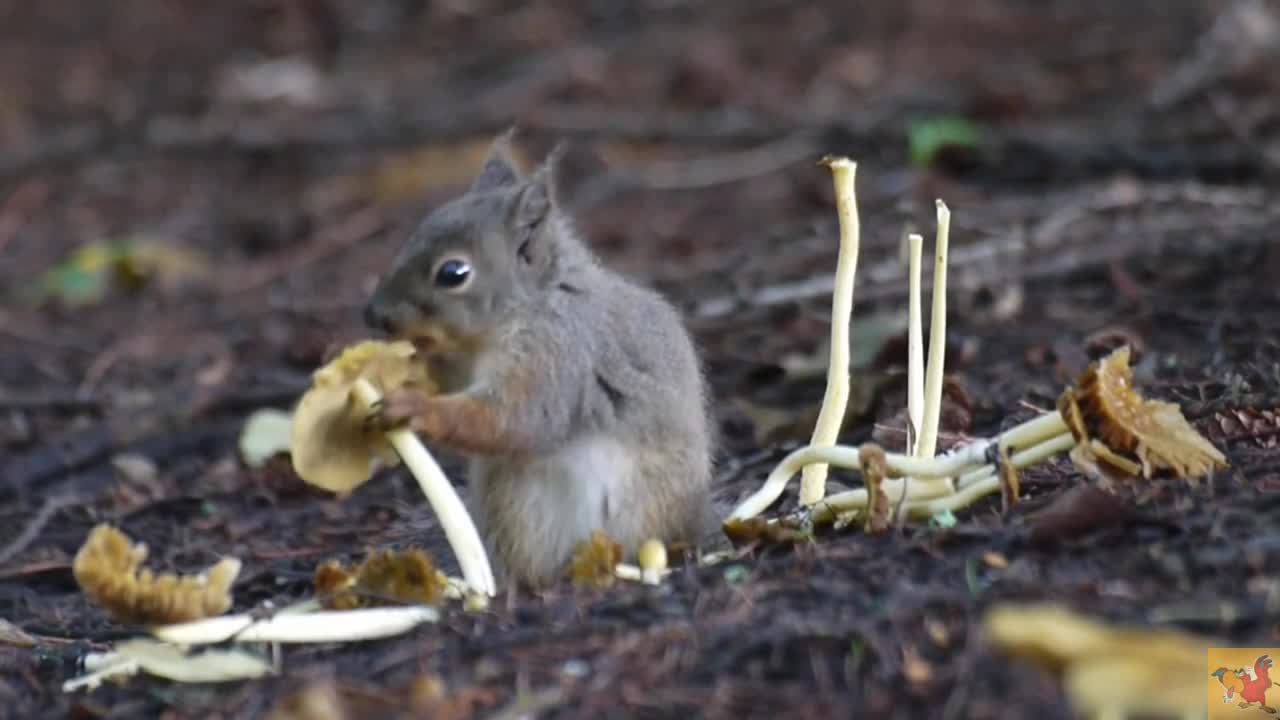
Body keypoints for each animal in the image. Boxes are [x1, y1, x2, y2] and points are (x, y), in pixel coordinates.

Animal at [366, 131, 721, 586]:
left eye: (453, 273)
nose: (374, 315)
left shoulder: (557, 357)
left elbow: (516, 418)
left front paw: (414, 406)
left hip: (645, 507)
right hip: (514, 511)